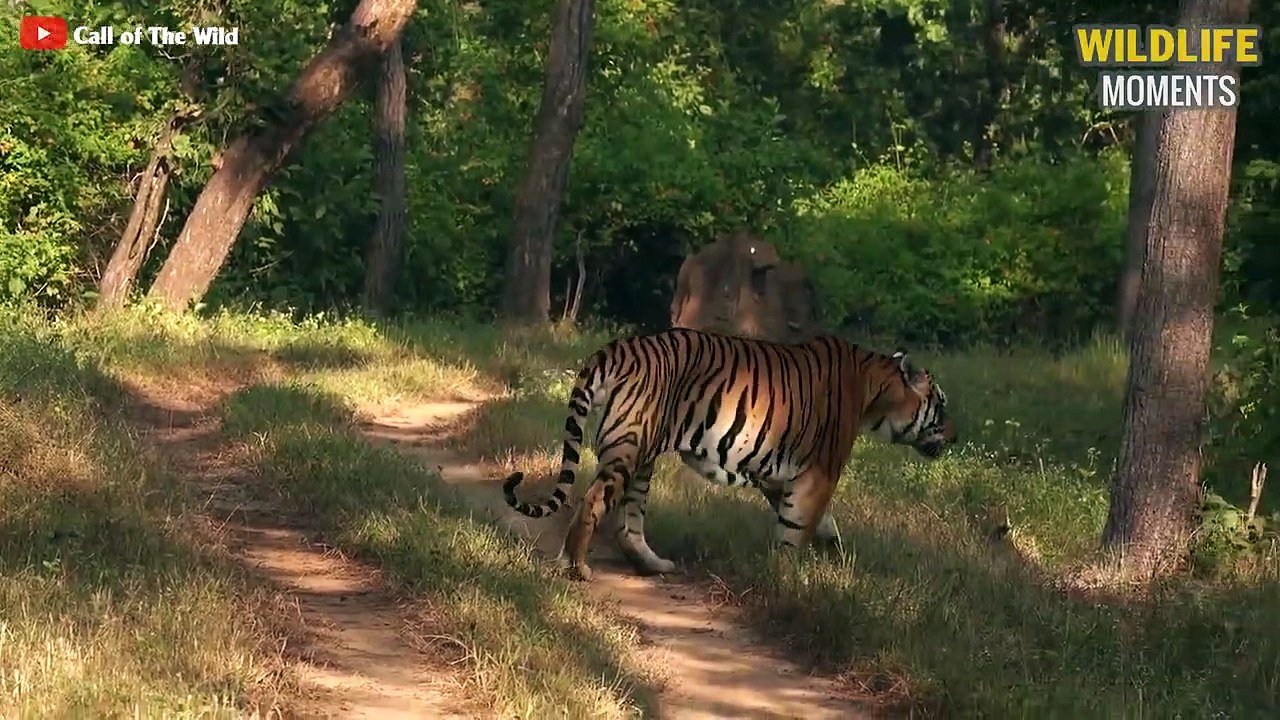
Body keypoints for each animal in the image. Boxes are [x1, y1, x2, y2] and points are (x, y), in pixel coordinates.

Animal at [501, 327, 957, 581]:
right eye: (942, 403)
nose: (954, 436)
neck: (875, 393)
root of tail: (620, 347)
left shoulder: (781, 474)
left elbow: (813, 522)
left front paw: (831, 554)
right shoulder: (819, 471)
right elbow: (797, 528)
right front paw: (788, 579)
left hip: (642, 454)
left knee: (629, 524)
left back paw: (653, 565)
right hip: (630, 446)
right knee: (593, 501)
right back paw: (576, 567)